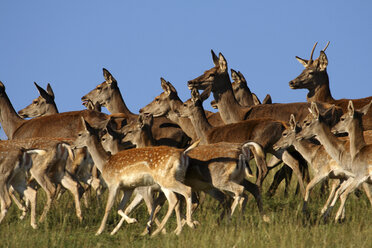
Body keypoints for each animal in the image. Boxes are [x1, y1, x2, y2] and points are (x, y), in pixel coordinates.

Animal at [73, 117, 201, 237]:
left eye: (79, 134)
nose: (72, 145)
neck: (105, 164)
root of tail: (182, 153)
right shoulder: (128, 188)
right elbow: (122, 208)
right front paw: (130, 222)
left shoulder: (114, 184)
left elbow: (108, 207)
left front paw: (99, 231)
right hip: (174, 179)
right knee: (177, 200)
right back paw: (179, 228)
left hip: (165, 179)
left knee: (183, 193)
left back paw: (183, 226)